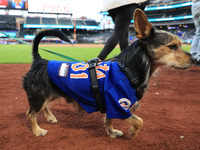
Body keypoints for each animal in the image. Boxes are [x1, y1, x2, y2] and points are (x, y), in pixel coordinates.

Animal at [23, 9, 195, 138]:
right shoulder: (119, 104)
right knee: (30, 114)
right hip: (39, 95)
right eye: (172, 46)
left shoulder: (113, 104)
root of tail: (39, 60)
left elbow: (109, 120)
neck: (128, 68)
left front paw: (112, 132)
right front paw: (132, 132)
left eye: (181, 44)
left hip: (51, 93)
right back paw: (37, 130)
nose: (195, 59)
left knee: (42, 107)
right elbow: (139, 121)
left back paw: (50, 117)